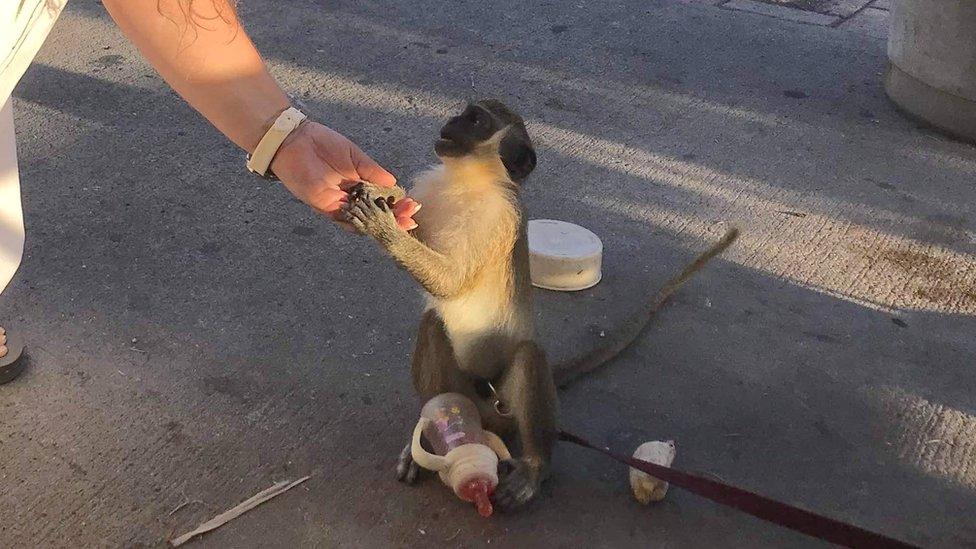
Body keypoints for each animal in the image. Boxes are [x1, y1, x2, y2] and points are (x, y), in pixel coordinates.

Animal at [346, 98, 736, 510]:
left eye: (476, 120)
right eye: (464, 113)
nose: (450, 122)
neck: (467, 181)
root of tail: (484, 417)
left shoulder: (500, 217)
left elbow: (451, 283)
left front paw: (384, 228)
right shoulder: (433, 186)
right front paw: (382, 194)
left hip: (502, 406)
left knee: (527, 355)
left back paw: (535, 466)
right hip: (465, 395)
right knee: (434, 325)